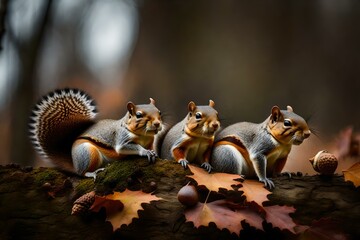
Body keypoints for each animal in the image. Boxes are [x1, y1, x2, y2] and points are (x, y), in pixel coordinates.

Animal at [28, 88, 162, 174]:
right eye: (138, 115)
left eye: (159, 112)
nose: (157, 124)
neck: (143, 135)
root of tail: (75, 165)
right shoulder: (122, 138)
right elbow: (127, 147)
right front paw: (145, 152)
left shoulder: (151, 142)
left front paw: (154, 153)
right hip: (87, 153)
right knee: (82, 173)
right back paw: (92, 173)